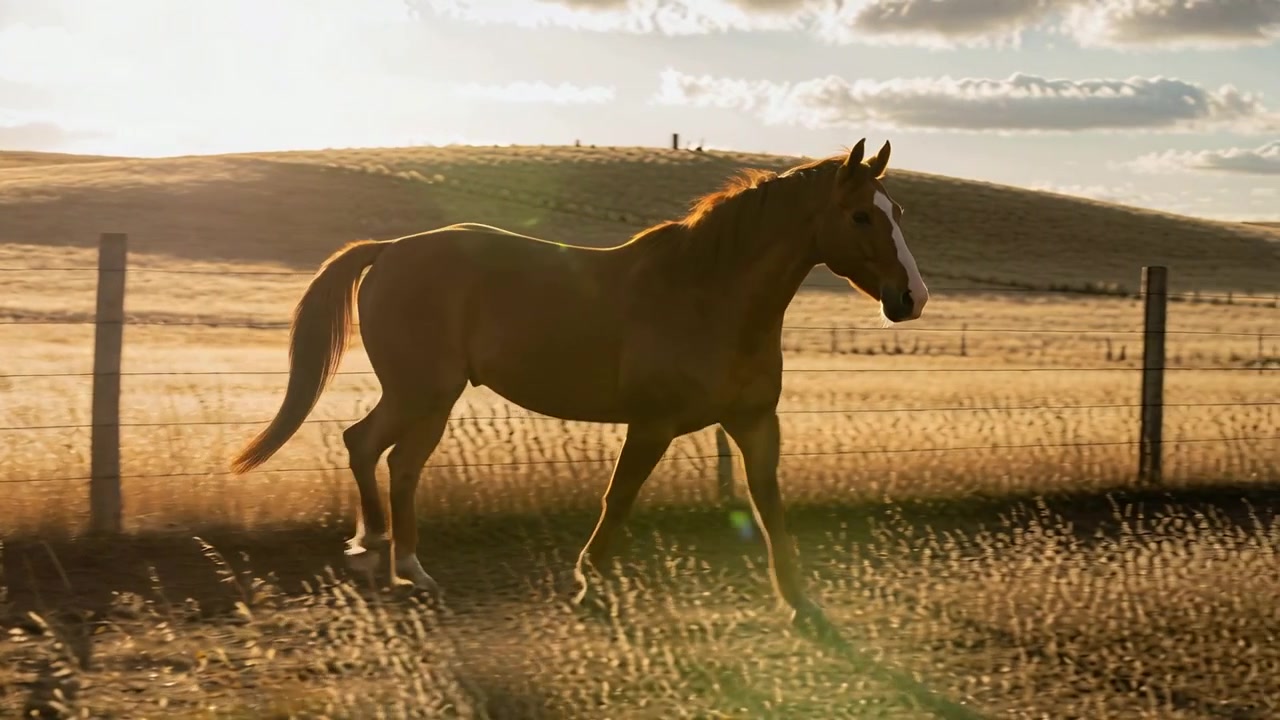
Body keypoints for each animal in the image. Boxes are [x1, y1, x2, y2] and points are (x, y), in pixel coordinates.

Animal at [229, 138, 929, 627]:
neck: (709, 295)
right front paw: (590, 581)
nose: (911, 298)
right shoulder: (652, 424)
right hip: (420, 392)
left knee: (397, 462)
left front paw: (800, 604)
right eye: (862, 216)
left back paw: (408, 569)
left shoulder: (755, 423)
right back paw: (375, 548)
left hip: (432, 399)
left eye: (897, 212)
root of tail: (391, 249)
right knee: (365, 445)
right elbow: (617, 499)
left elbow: (770, 505)